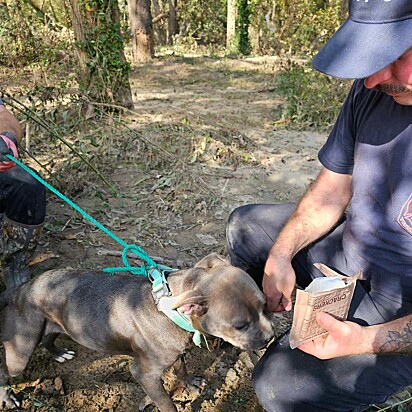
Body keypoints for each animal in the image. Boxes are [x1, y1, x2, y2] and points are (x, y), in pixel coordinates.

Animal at [0, 253, 276, 410]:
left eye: (265, 306)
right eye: (240, 325)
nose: (271, 337)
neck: (170, 309)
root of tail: (22, 288)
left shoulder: (176, 353)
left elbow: (181, 368)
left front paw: (189, 382)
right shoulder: (145, 375)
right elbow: (167, 405)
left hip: (53, 323)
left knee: (49, 338)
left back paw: (58, 354)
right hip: (20, 352)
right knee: (5, 370)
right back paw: (7, 398)